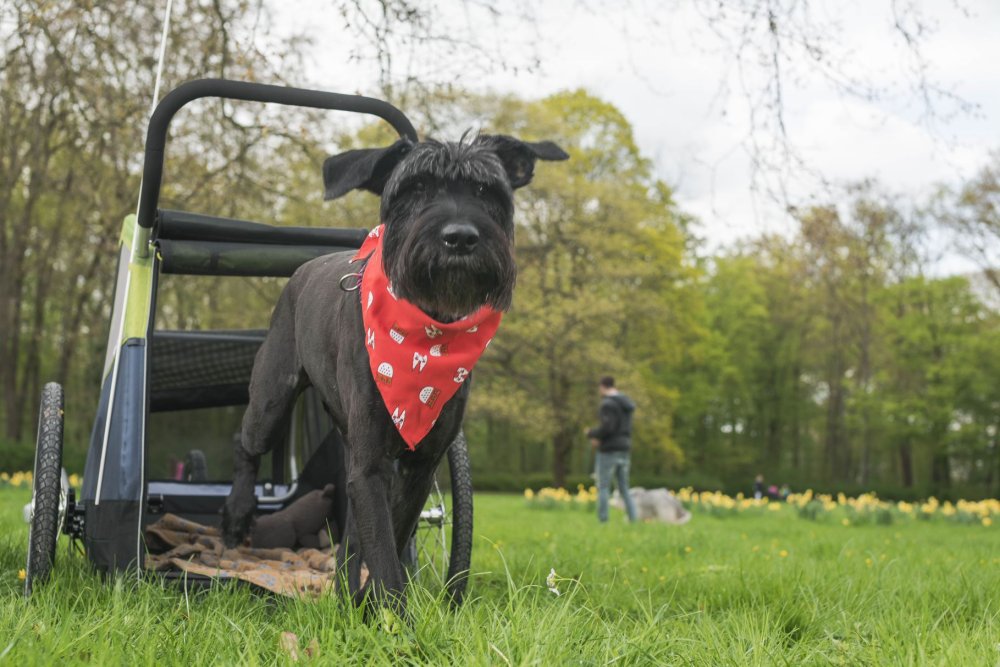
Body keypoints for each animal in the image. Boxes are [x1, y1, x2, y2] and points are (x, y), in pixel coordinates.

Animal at [221, 133, 568, 612]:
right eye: (415, 187)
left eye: (486, 191)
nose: (460, 237)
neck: (428, 330)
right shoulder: (369, 466)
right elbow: (384, 554)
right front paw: (394, 619)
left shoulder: (418, 466)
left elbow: (391, 538)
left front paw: (372, 607)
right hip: (271, 398)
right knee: (244, 443)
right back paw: (237, 515)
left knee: (349, 540)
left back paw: (344, 598)